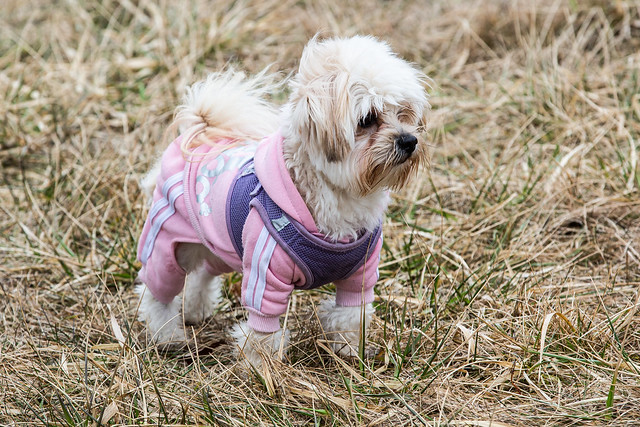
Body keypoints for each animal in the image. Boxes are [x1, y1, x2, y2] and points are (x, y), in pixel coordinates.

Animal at [138, 35, 432, 368]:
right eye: (368, 119)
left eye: (404, 113)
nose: (409, 140)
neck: (342, 198)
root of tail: (200, 133)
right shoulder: (266, 275)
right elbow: (262, 333)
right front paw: (260, 369)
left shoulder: (360, 274)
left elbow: (350, 316)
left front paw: (348, 351)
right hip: (169, 244)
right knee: (155, 292)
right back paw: (166, 335)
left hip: (220, 244)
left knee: (203, 274)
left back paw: (195, 310)